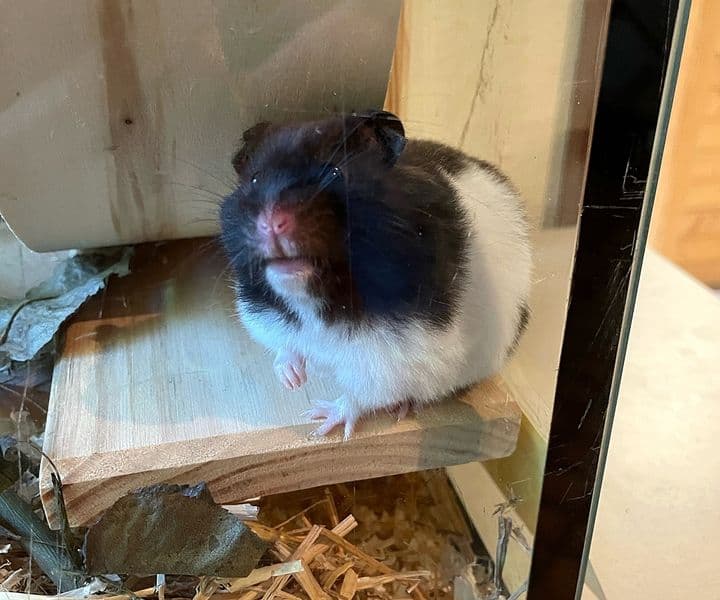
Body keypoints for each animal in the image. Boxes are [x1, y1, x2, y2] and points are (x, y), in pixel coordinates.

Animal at [220, 110, 532, 439]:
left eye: (335, 173)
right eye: (255, 179)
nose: (271, 223)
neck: (314, 300)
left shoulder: (395, 357)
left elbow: (360, 395)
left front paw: (320, 422)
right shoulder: (266, 316)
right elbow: (285, 347)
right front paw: (292, 380)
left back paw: (402, 408)